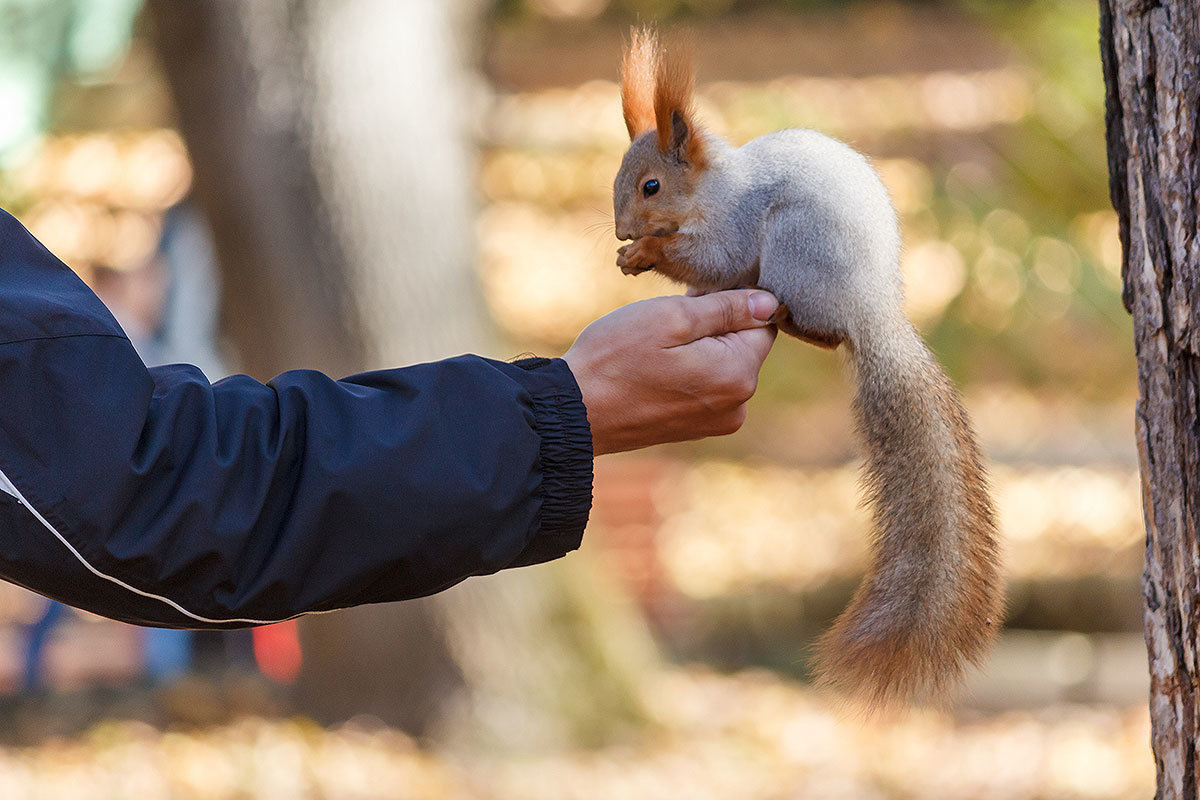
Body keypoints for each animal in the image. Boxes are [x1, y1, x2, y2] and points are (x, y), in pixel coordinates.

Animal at [614, 28, 998, 710]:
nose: (618, 230)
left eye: (651, 187)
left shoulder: (735, 228)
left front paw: (647, 252)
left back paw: (785, 314)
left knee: (821, 330)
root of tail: (872, 312)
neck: (711, 194)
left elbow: (716, 261)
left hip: (795, 248)